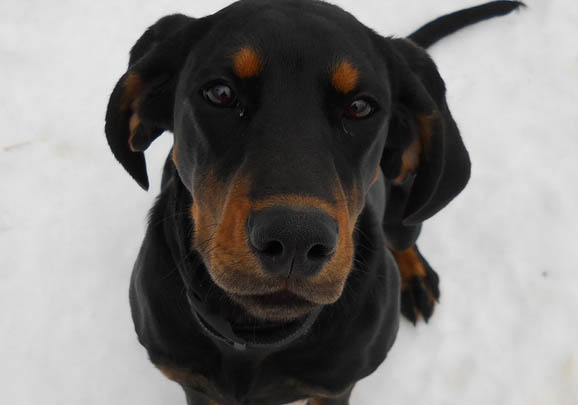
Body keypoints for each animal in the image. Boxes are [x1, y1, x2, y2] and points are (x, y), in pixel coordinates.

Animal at [103, 1, 520, 402]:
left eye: (361, 107)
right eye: (220, 93)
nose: (295, 240)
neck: (257, 335)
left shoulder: (335, 385)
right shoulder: (196, 385)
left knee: (404, 234)